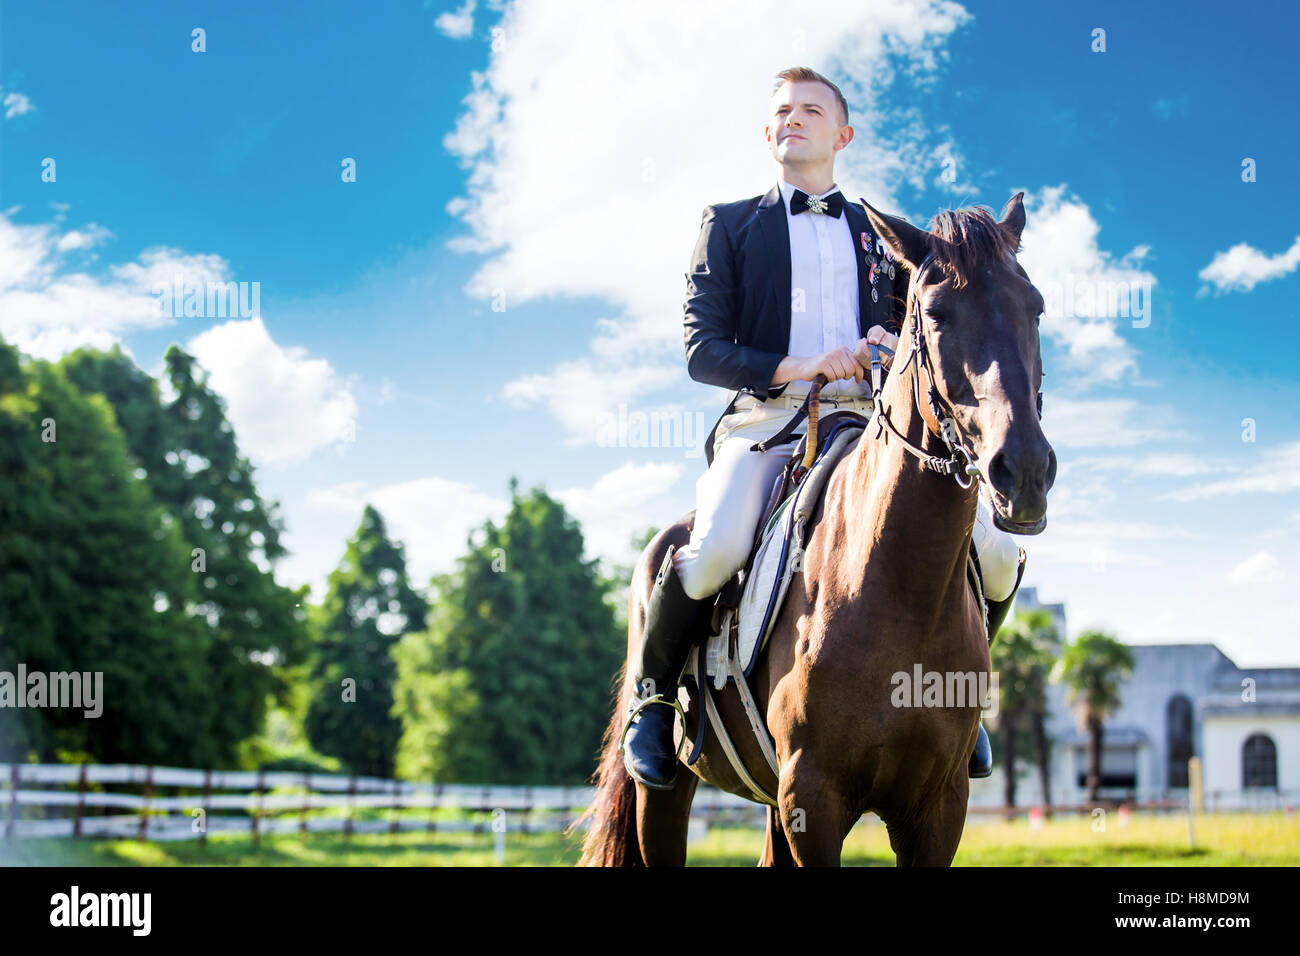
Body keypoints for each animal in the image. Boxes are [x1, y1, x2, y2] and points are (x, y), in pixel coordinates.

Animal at [579, 195, 1055, 868]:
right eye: (935, 312)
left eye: (1033, 305)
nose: (1026, 471)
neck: (901, 585)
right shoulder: (814, 794)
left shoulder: (939, 805)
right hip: (668, 794)